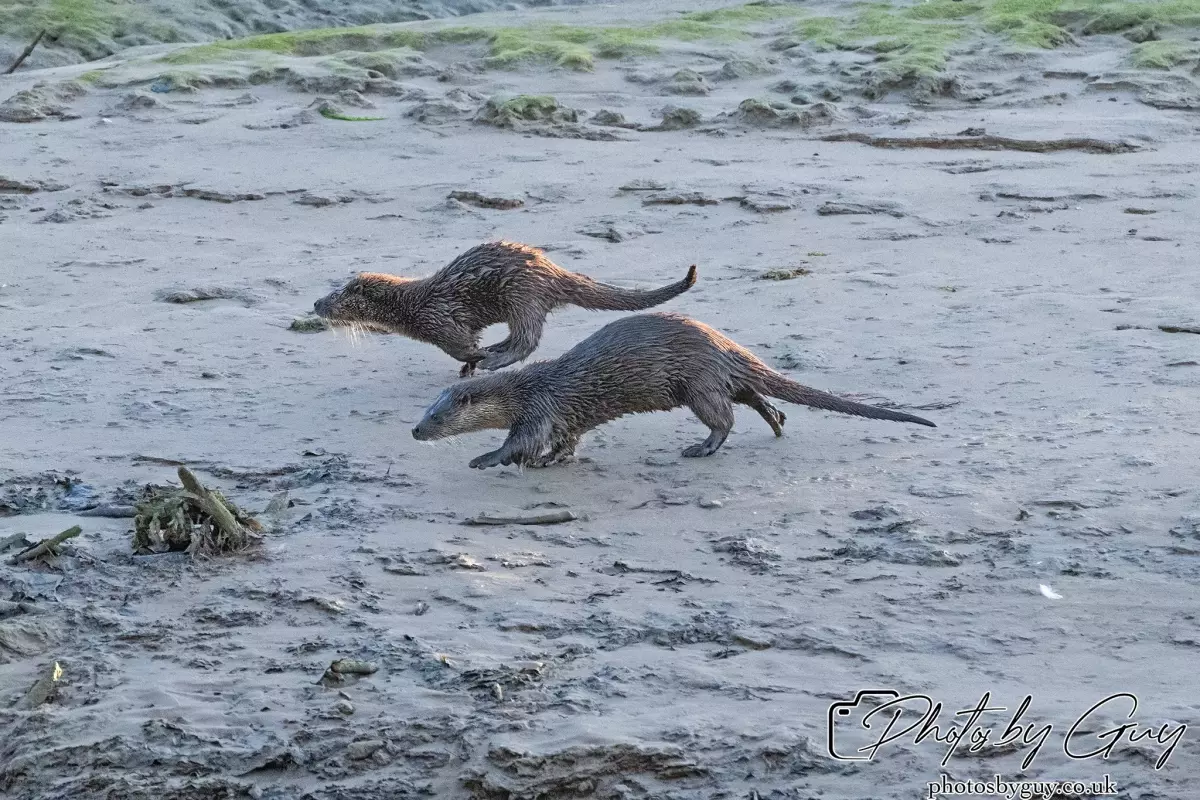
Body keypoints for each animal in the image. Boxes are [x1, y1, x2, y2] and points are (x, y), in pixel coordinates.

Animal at [312, 240, 698, 377]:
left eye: (336, 298)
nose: (316, 303)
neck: (412, 306)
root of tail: (550, 269)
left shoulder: (440, 319)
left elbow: (460, 345)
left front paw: (475, 358)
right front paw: (473, 362)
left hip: (523, 296)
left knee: (528, 339)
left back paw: (494, 359)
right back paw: (496, 349)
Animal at [411, 312, 937, 469]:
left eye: (437, 416)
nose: (415, 432)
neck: (527, 388)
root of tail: (722, 344)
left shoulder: (540, 409)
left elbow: (519, 442)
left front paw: (485, 458)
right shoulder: (563, 417)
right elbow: (565, 442)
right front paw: (551, 461)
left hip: (696, 383)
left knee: (724, 418)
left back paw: (700, 448)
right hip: (716, 378)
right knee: (752, 397)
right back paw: (777, 423)